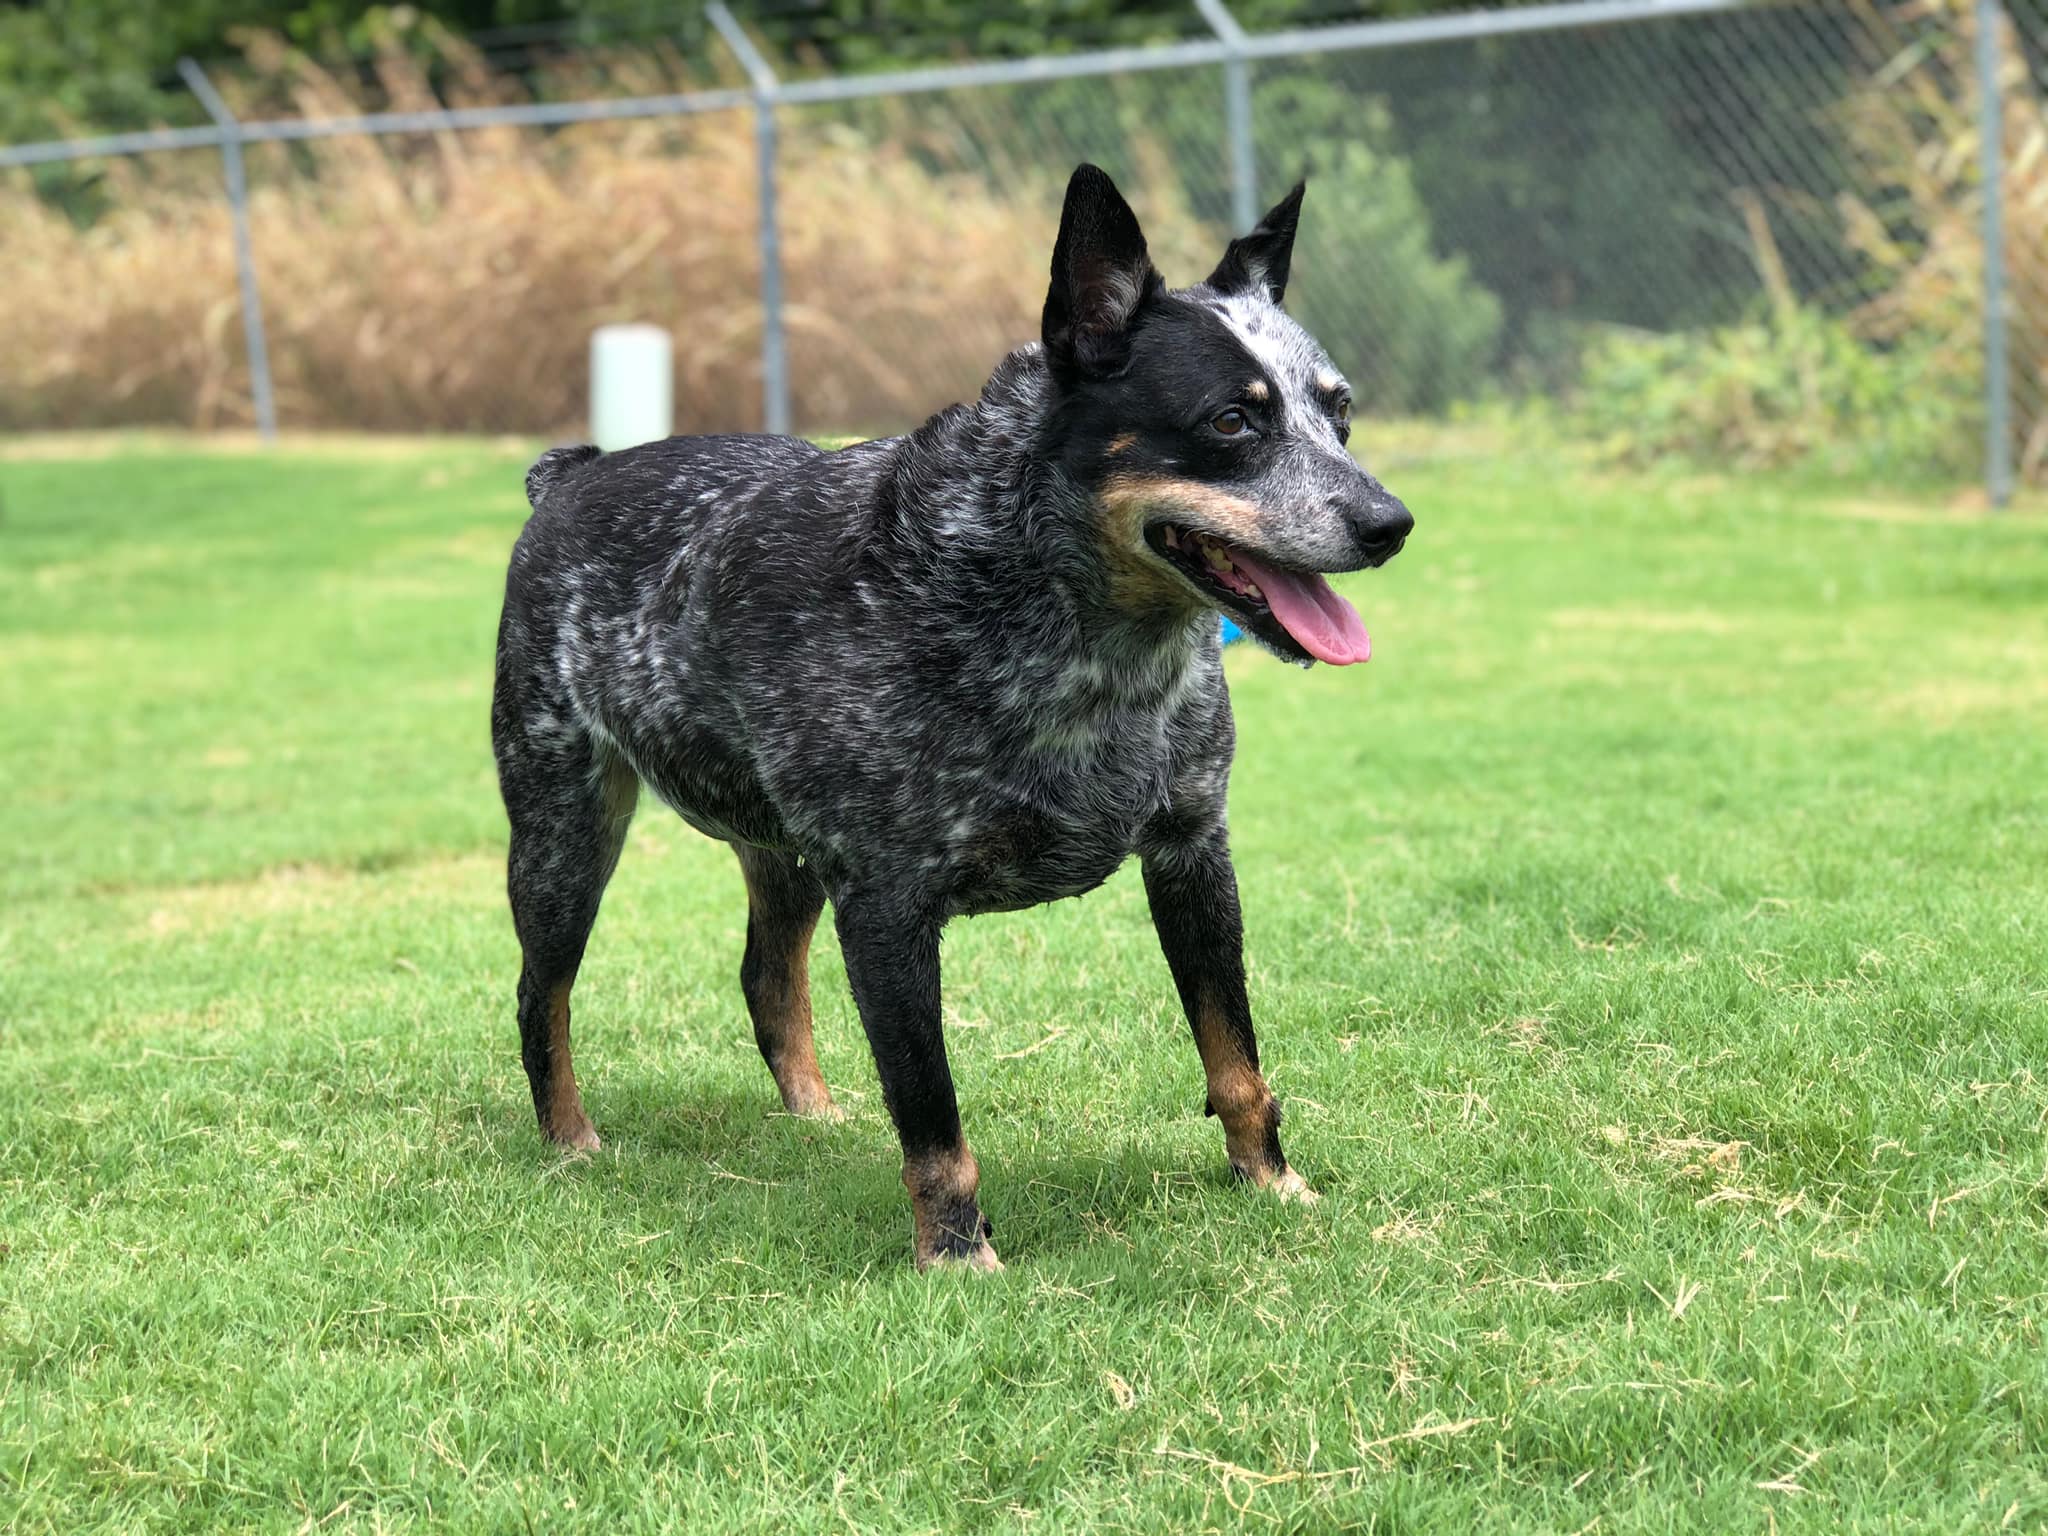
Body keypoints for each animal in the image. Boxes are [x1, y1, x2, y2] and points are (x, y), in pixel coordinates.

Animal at [492, 163, 1412, 1270]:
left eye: (1339, 413)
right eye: (1232, 421)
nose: (1390, 523)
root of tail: (574, 472)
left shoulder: (1193, 852)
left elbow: (1234, 1054)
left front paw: (1271, 1182)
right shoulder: (886, 908)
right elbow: (931, 1116)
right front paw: (956, 1253)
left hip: (783, 855)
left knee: (766, 978)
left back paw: (814, 1115)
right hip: (563, 838)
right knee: (541, 992)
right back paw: (569, 1142)